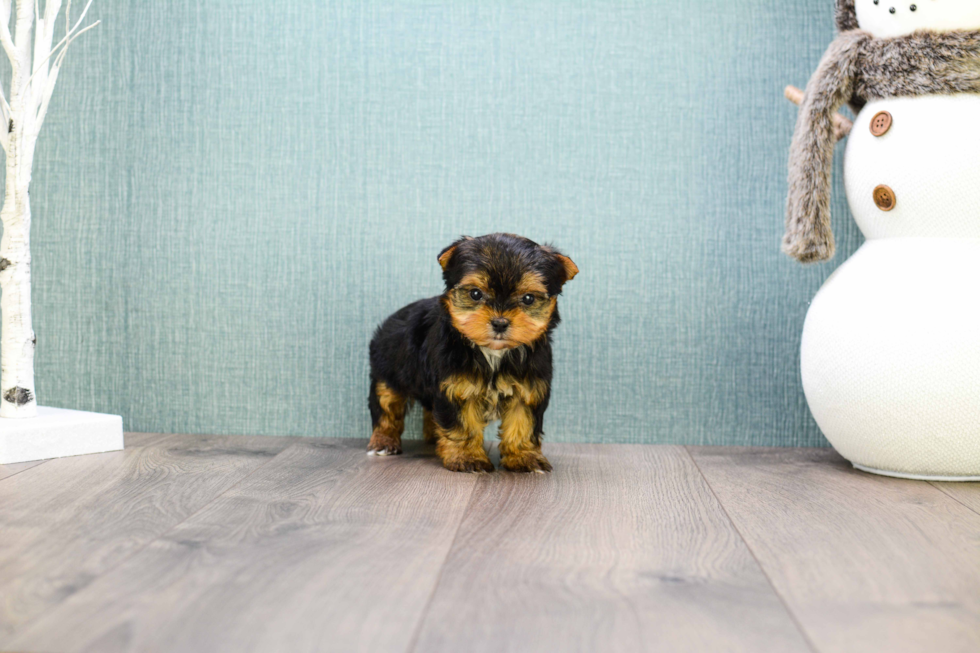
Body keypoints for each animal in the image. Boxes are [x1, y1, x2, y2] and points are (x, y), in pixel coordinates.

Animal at [370, 232, 580, 472]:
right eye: (475, 294)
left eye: (528, 298)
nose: (500, 323)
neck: (493, 353)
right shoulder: (457, 388)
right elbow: (463, 426)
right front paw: (467, 458)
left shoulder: (528, 388)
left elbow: (523, 423)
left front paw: (523, 457)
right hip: (388, 371)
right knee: (386, 406)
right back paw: (383, 442)